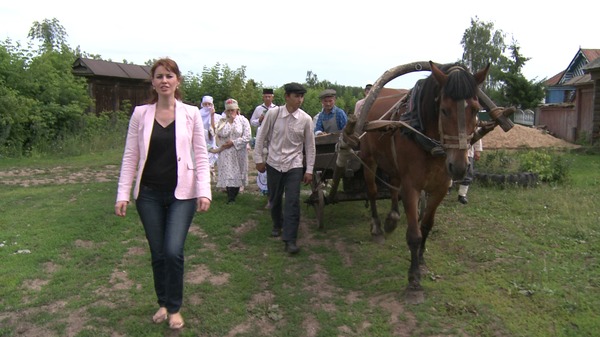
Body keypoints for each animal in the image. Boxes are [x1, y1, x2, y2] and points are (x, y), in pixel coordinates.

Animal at [358, 60, 490, 300]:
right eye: (444, 110)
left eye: (476, 110)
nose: (459, 167)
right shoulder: (412, 187)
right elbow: (414, 234)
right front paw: (413, 279)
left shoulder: (440, 187)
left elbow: (426, 226)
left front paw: (420, 260)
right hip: (368, 160)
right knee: (372, 192)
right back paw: (378, 228)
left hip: (393, 166)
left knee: (394, 187)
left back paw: (392, 218)